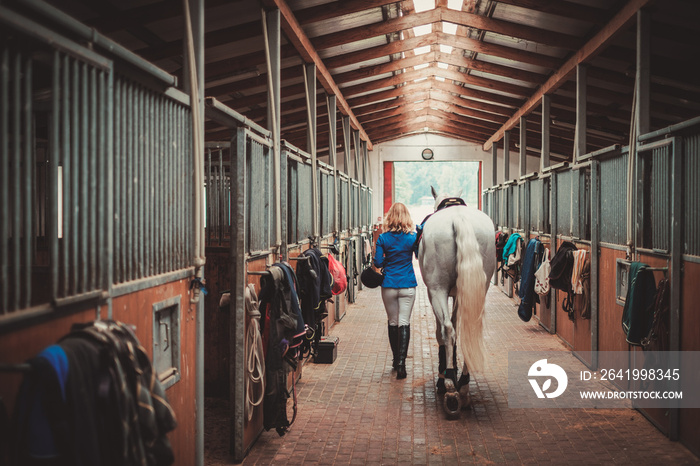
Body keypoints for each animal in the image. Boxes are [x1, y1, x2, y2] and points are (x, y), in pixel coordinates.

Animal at [416, 187, 498, 416]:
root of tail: (458, 218)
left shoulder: (435, 293)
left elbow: (442, 332)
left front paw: (444, 375)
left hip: (438, 290)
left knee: (447, 329)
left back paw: (451, 386)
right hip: (477, 288)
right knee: (469, 329)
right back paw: (463, 385)